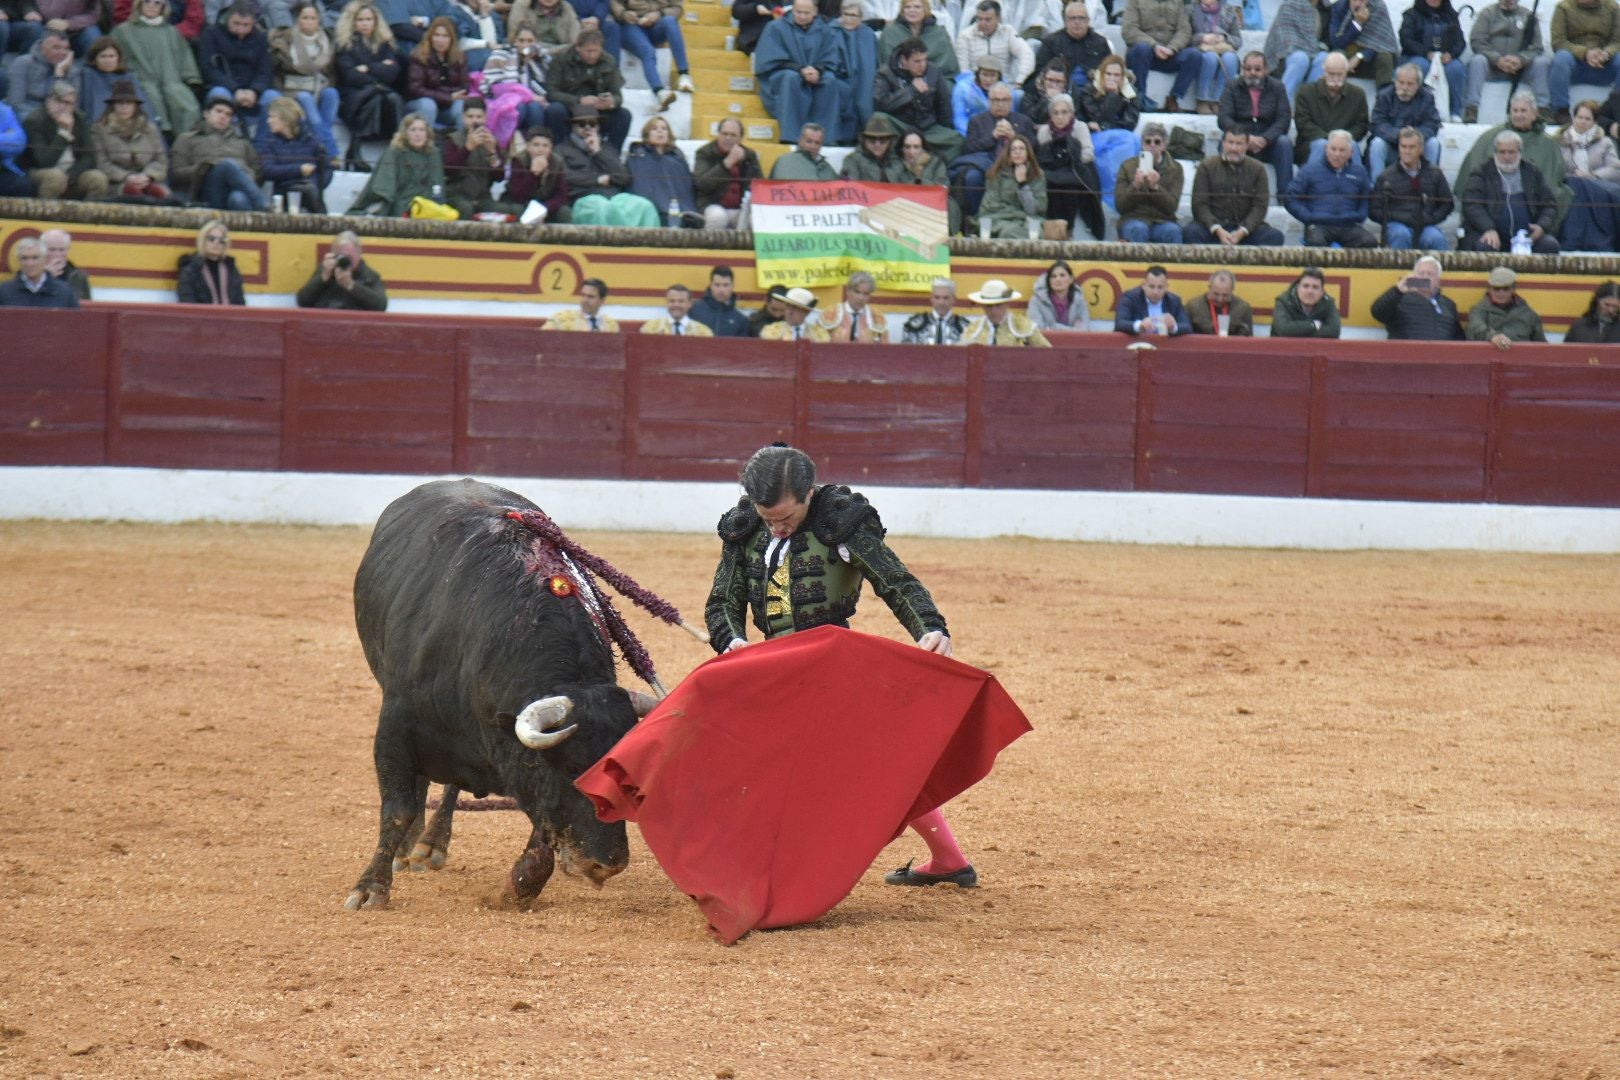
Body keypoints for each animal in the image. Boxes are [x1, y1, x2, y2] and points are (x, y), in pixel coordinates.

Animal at [345, 482, 641, 913]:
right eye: (573, 768)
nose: (608, 863)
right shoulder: (396, 723)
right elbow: (397, 808)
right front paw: (370, 888)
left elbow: (543, 824)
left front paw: (520, 887)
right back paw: (410, 847)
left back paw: (432, 844)